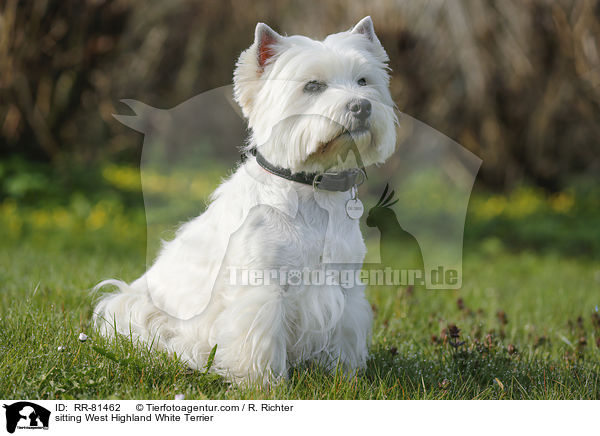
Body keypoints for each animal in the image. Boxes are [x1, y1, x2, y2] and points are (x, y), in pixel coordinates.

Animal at [94, 17, 396, 384]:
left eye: (363, 81)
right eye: (313, 86)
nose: (361, 106)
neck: (312, 189)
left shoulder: (345, 287)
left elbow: (344, 333)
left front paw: (343, 377)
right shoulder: (260, 287)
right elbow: (260, 338)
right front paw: (262, 383)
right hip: (133, 307)